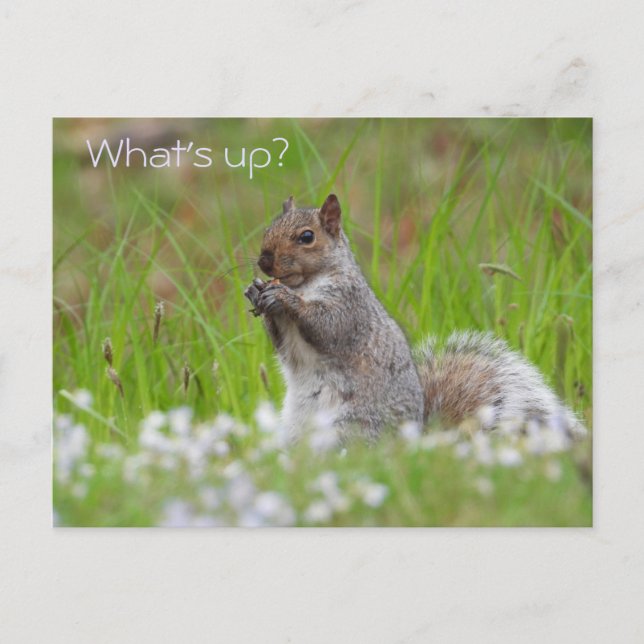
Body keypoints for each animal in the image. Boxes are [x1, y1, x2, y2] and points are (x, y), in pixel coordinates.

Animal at [244, 194, 586, 443]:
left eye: (306, 237)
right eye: (269, 228)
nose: (264, 260)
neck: (305, 283)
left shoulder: (350, 308)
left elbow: (327, 327)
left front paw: (284, 298)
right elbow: (282, 343)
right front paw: (256, 291)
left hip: (350, 427)